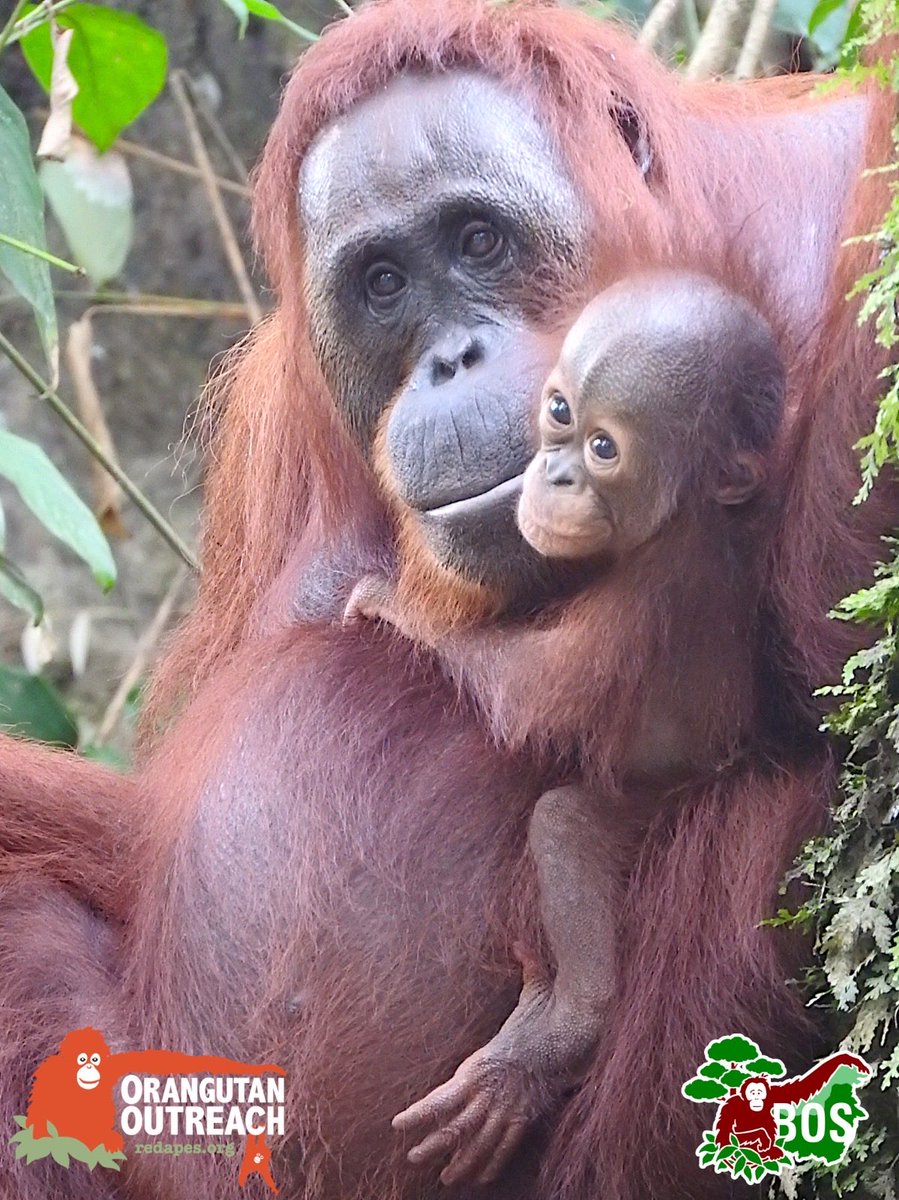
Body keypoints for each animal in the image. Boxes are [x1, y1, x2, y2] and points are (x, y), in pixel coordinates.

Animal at [343, 272, 788, 1184]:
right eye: (557, 413)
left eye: (603, 450)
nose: (550, 477)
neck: (683, 519)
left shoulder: (637, 601)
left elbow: (524, 695)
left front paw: (388, 604)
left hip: (659, 810)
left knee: (563, 827)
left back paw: (558, 1032)